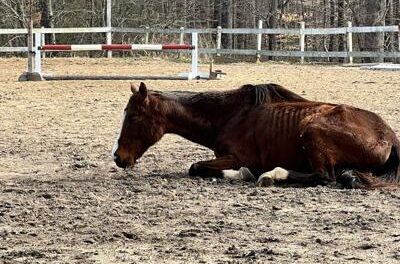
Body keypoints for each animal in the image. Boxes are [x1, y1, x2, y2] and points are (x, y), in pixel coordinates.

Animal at [111, 81, 400, 189]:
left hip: (312, 133)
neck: (230, 115)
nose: (118, 156)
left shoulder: (237, 157)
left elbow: (196, 167)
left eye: (133, 117)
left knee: (324, 177)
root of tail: (389, 135)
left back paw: (273, 175)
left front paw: (245, 173)